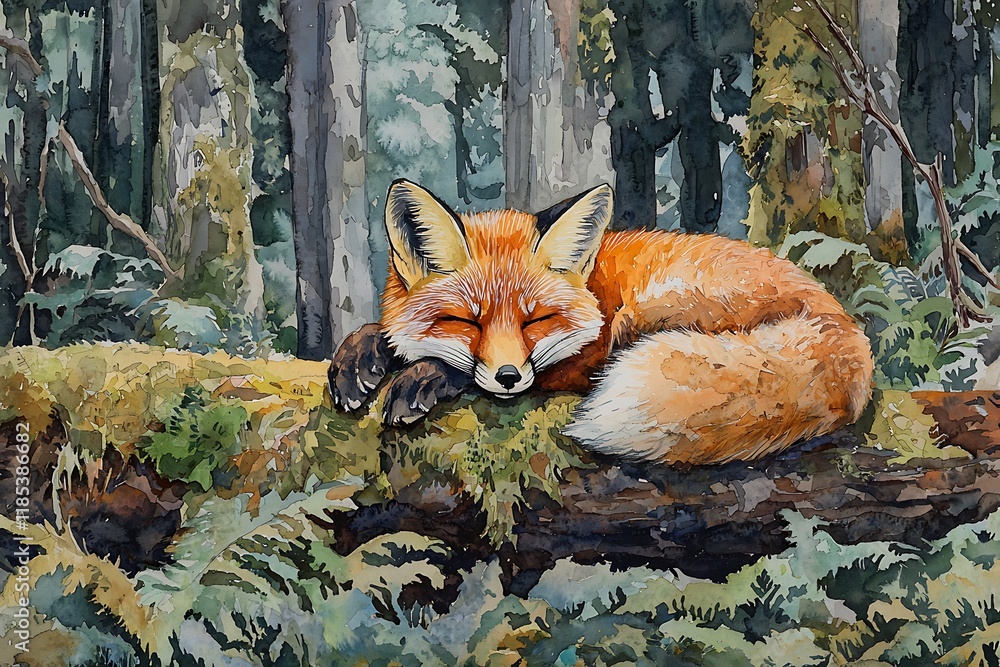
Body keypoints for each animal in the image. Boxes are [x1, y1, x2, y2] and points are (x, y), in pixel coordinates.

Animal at [328, 179, 874, 465]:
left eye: (537, 321)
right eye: (468, 322)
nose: (508, 377)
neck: (592, 287)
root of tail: (844, 326)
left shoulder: (585, 351)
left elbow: (474, 372)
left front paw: (423, 376)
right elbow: (383, 333)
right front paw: (358, 360)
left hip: (639, 316)